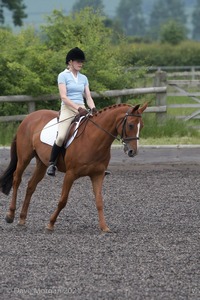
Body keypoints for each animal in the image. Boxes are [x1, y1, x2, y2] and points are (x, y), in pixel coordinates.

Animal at [0, 103, 147, 232]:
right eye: (131, 125)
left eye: (142, 126)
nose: (133, 152)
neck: (93, 139)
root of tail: (29, 117)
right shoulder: (70, 174)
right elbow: (63, 200)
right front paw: (50, 224)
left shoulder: (97, 175)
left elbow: (99, 201)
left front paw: (104, 227)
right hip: (24, 157)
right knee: (17, 179)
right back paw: (10, 215)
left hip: (42, 163)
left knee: (31, 185)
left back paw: (22, 219)